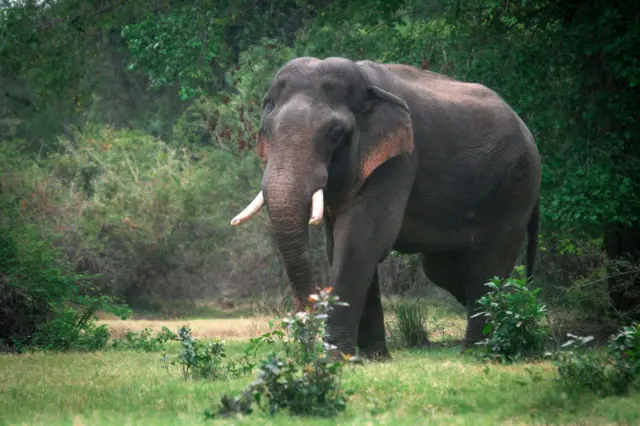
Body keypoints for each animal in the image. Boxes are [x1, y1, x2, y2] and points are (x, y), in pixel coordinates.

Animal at [231, 56, 541, 360]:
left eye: (335, 134)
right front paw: (373, 358)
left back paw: (480, 350)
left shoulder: (398, 160)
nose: (305, 351)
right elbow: (340, 246)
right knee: (443, 269)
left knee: (485, 267)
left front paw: (336, 359)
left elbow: (360, 241)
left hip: (514, 188)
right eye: (266, 132)